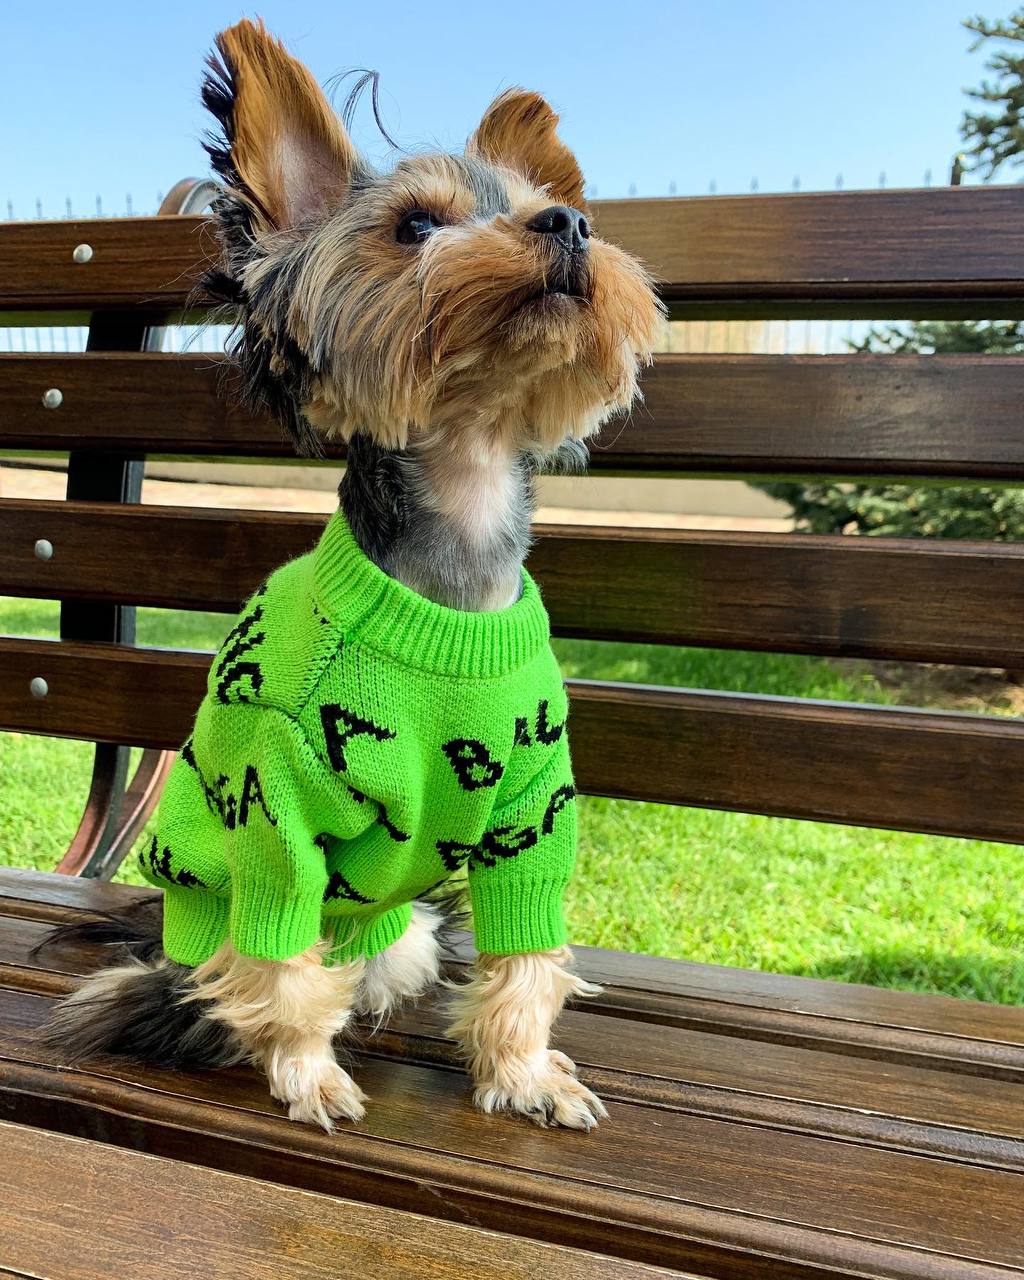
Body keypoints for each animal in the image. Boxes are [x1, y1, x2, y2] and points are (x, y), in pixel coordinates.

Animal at [44, 15, 660, 1126]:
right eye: (416, 226)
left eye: (562, 209)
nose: (569, 226)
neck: (449, 581)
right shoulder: (276, 800)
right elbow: (281, 959)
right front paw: (308, 1072)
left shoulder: (531, 803)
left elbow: (525, 949)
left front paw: (521, 1072)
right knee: (224, 975)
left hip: (403, 923)